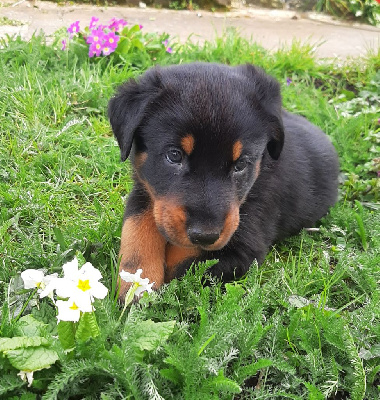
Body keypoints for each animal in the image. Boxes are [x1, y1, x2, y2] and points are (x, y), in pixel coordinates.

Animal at [108, 62, 340, 298]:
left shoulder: (244, 249)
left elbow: (184, 264)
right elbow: (136, 228)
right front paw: (136, 286)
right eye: (174, 155)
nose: (205, 235)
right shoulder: (144, 188)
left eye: (241, 164)